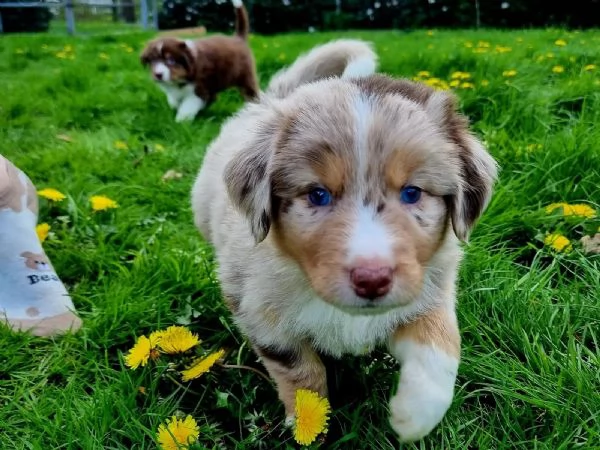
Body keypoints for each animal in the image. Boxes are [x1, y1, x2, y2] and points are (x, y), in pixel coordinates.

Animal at [191, 39, 496, 442]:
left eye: (413, 193)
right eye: (317, 195)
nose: (372, 279)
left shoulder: (430, 288)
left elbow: (441, 344)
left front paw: (413, 417)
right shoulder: (257, 311)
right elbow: (301, 373)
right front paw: (309, 425)